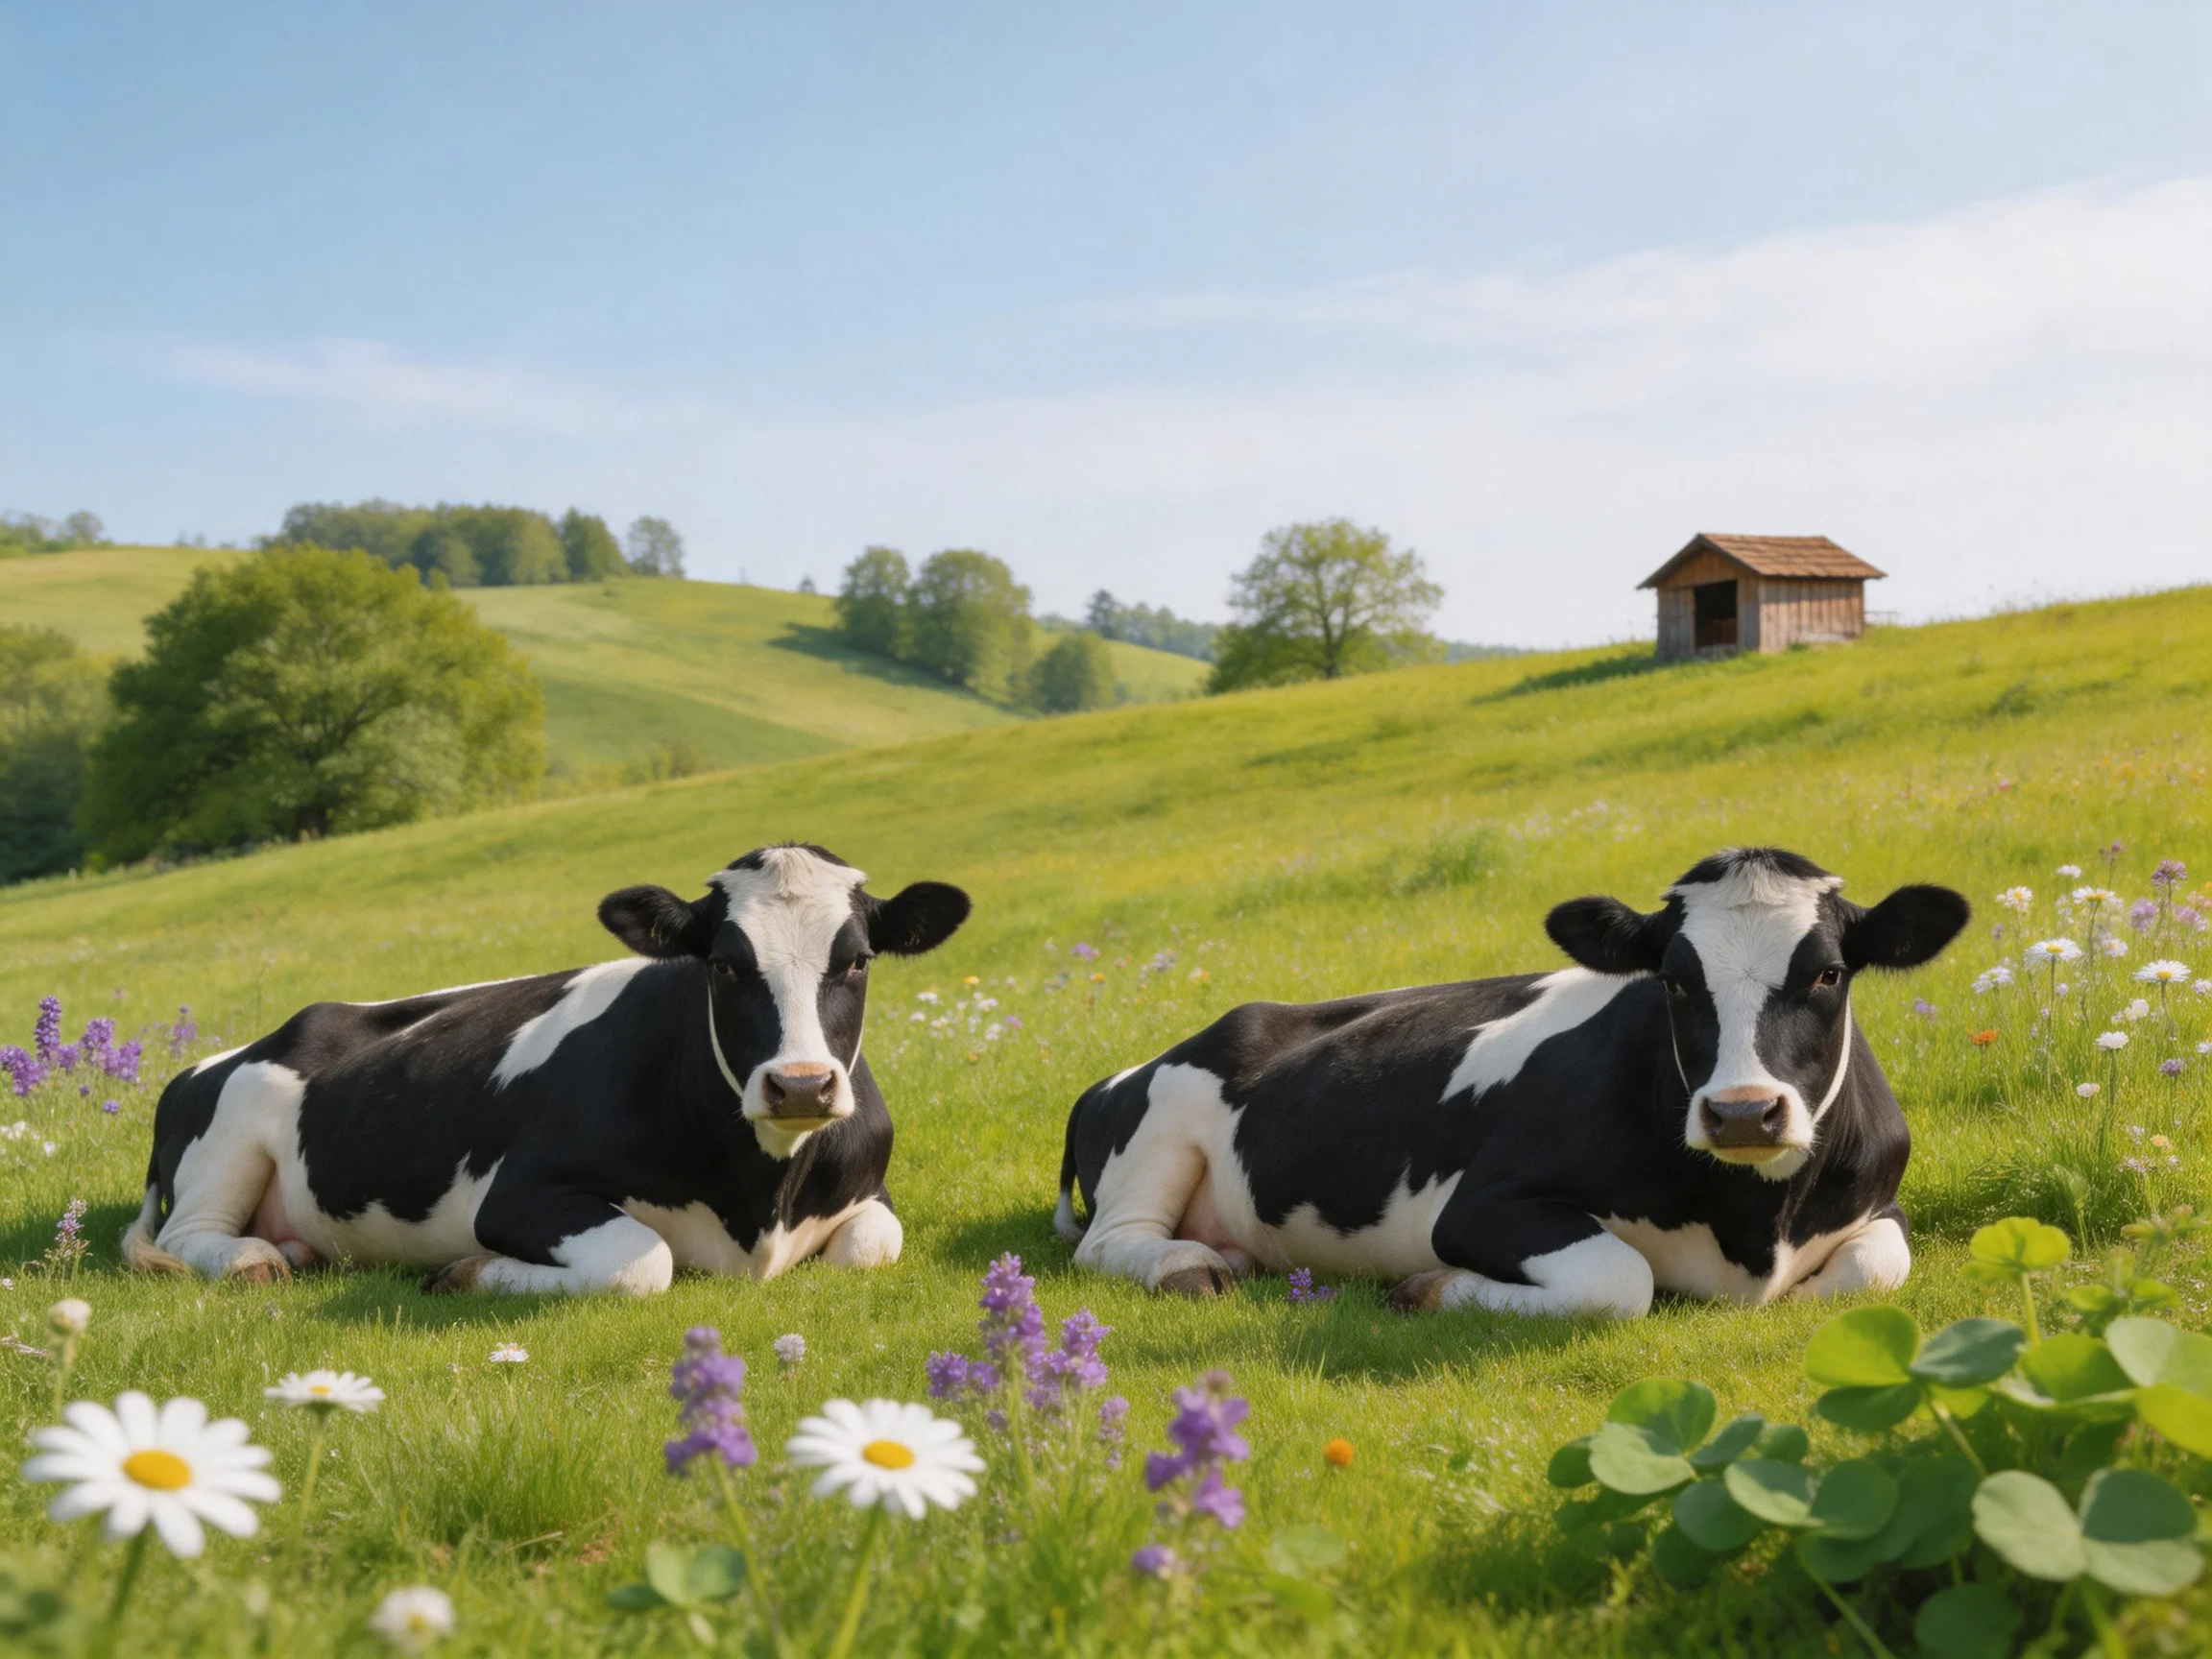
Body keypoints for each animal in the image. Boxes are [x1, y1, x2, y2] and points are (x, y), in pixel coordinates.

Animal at [121, 844, 968, 1297]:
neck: (762, 1201)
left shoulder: (871, 1190)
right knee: (193, 1234)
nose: (799, 1085)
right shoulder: (520, 1194)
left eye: (857, 960)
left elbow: (869, 1247)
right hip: (231, 1130)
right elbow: (641, 1260)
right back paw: (254, 1258)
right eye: (725, 964)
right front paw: (468, 1272)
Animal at [1054, 848, 1968, 1318]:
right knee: (1110, 1241)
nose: (1743, 1112)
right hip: (1164, 1120)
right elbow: (1619, 1282)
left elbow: (1861, 1275)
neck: (1756, 1225)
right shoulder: (1482, 1206)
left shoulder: (1882, 1205)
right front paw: (1430, 1287)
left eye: (1828, 974)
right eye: (1673, 981)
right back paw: (1186, 1265)